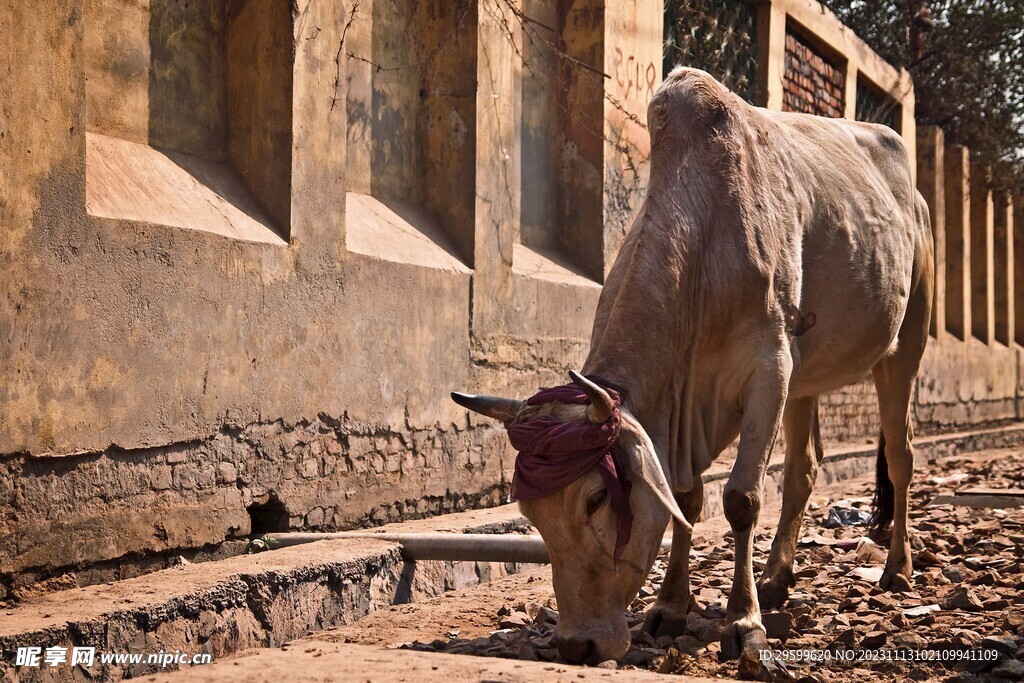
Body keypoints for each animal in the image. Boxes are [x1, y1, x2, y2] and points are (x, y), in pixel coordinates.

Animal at [452, 66, 933, 675]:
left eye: (597, 498)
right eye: (531, 514)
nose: (578, 645)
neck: (705, 243)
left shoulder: (769, 370)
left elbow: (741, 500)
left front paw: (744, 623)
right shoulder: (697, 407)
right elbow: (685, 502)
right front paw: (670, 608)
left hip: (904, 345)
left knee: (900, 456)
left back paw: (897, 568)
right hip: (805, 378)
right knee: (804, 469)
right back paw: (777, 578)